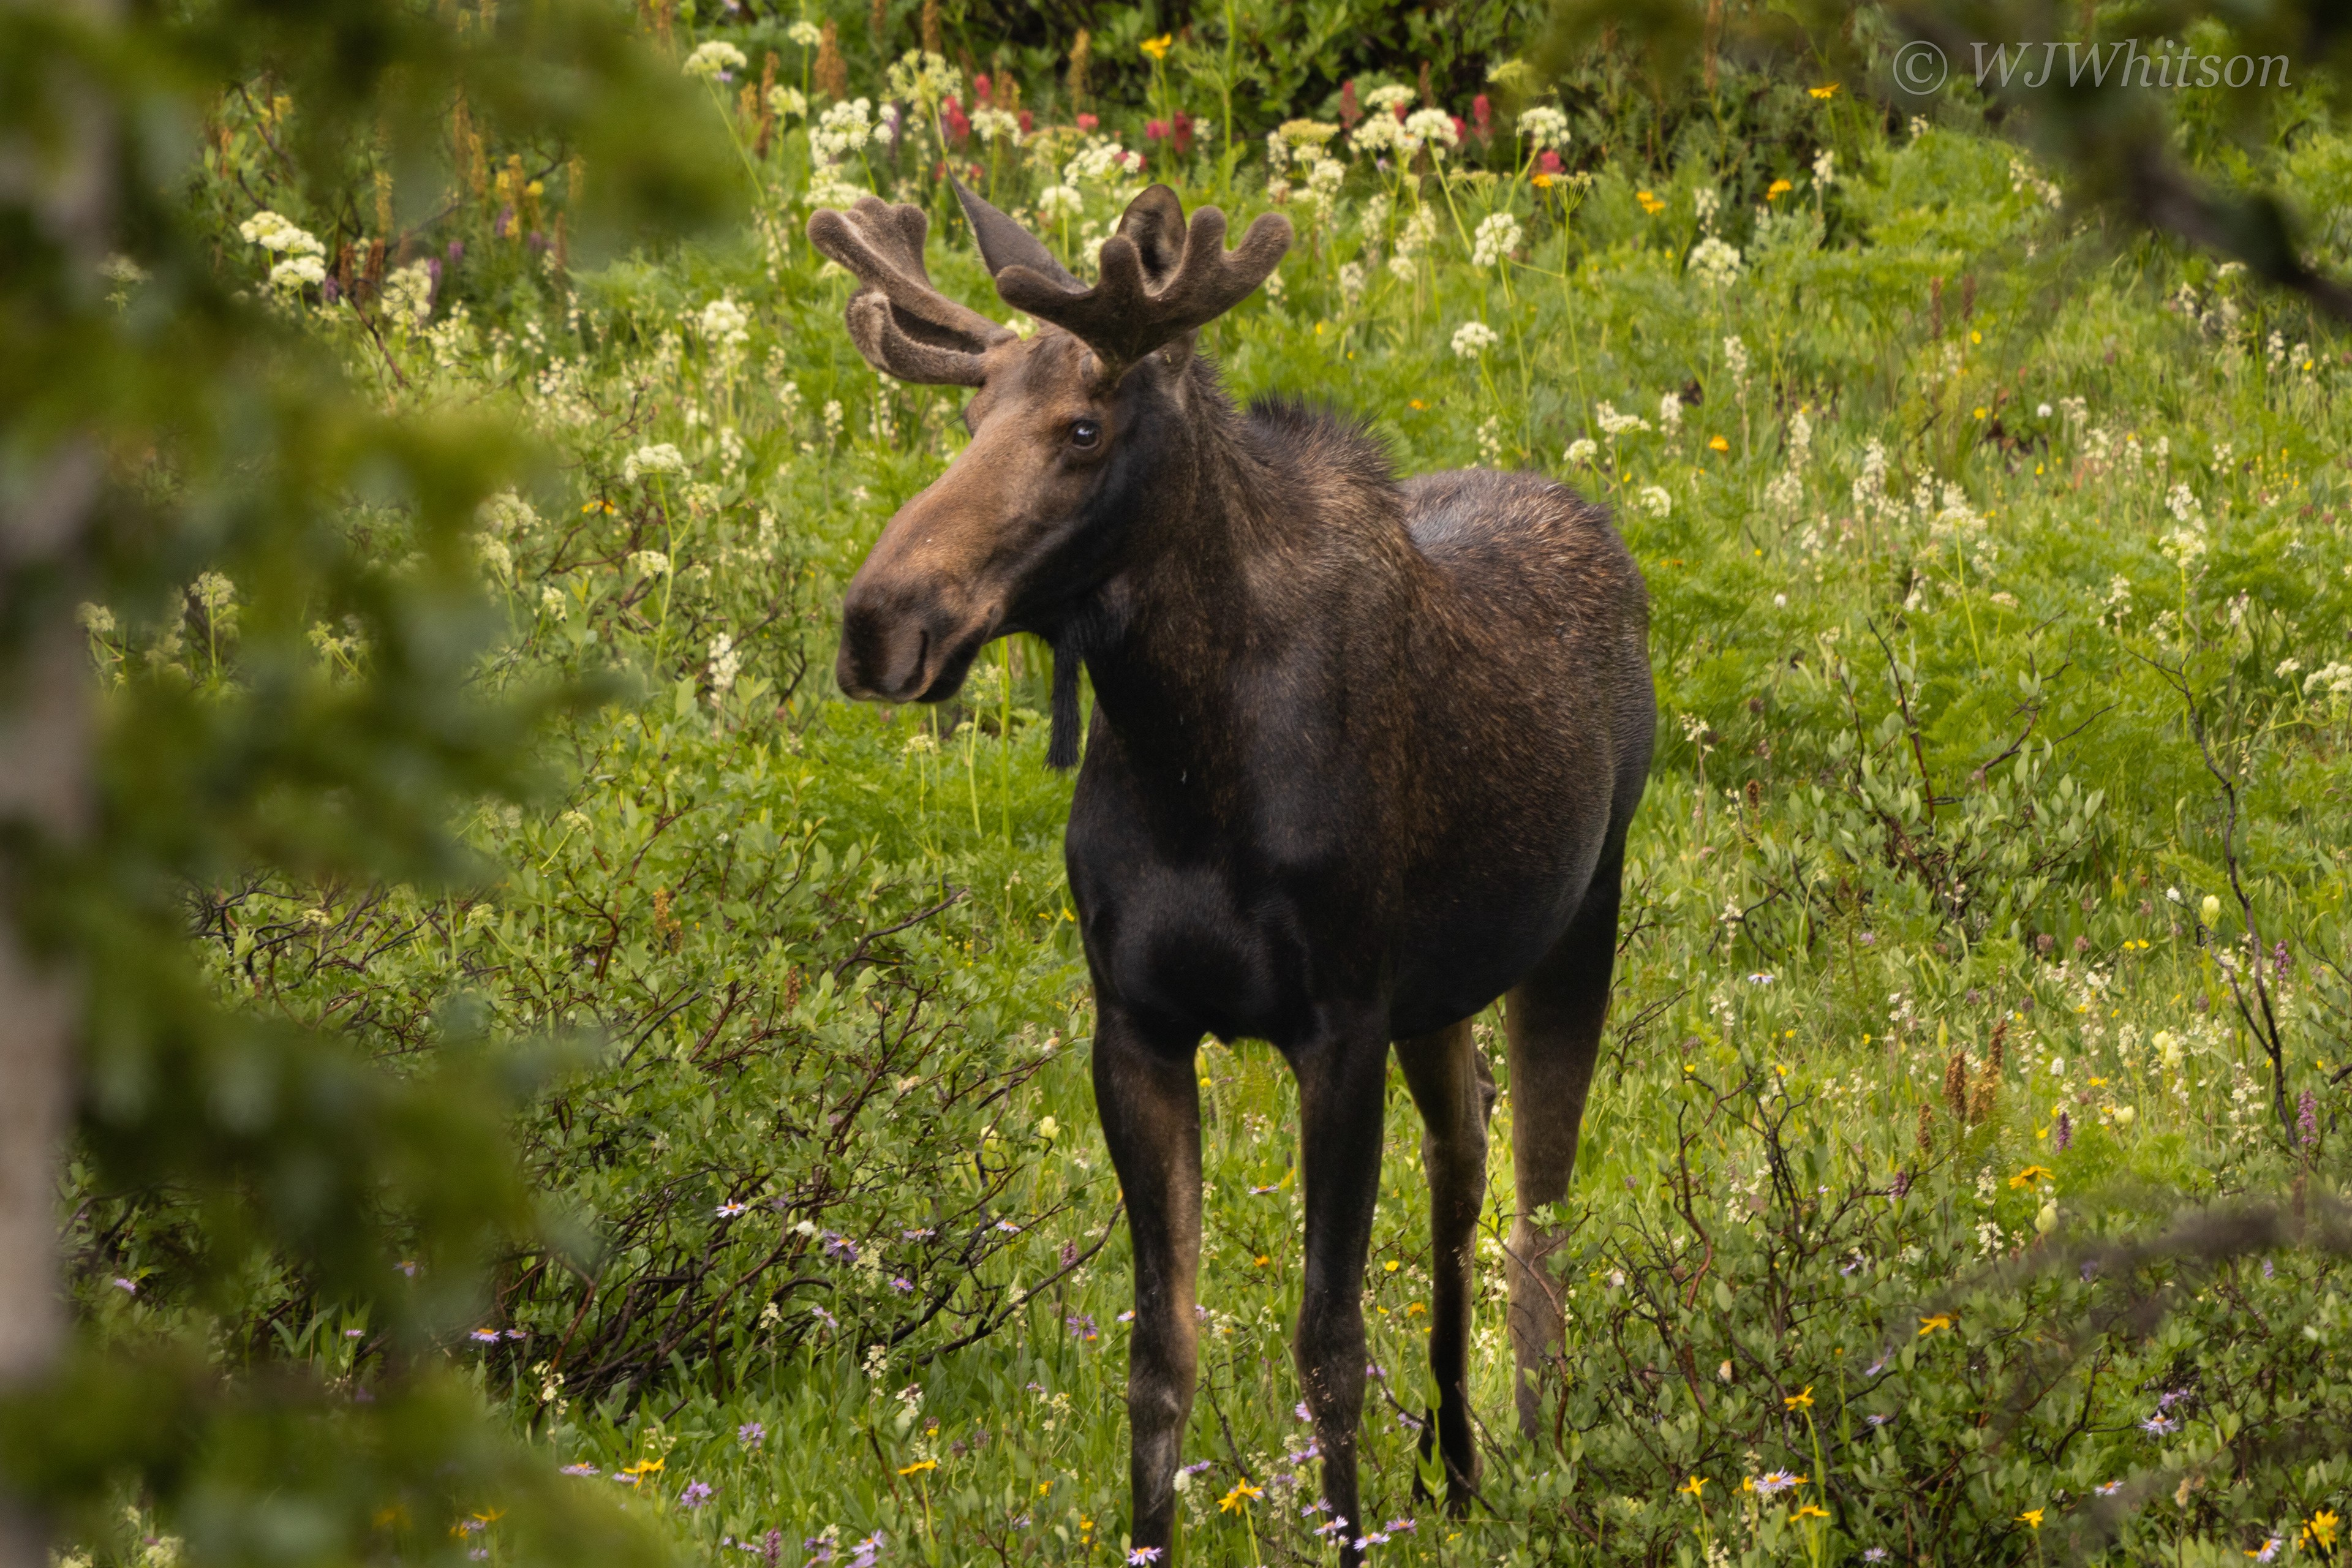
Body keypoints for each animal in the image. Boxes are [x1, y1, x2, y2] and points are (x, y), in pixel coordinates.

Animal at [807, 180, 1654, 1564]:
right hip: (1438, 995)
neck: (1190, 759)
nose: (880, 622)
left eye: (1084, 426)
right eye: (970, 420)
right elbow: (1161, 1351)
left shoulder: (1338, 1021)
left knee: (1544, 1209)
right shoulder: (1139, 1022)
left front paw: (1350, 1532)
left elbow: (1330, 1346)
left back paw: (1540, 1452)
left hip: (1585, 911)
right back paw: (1456, 1466)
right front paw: (1154, 1534)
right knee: (1464, 1162)